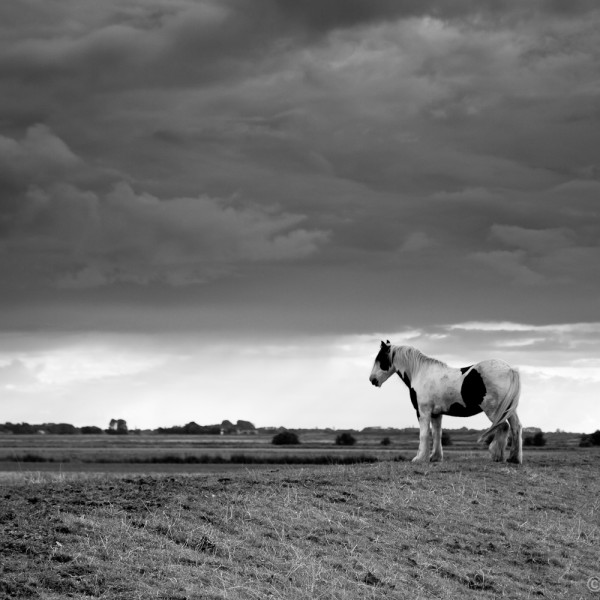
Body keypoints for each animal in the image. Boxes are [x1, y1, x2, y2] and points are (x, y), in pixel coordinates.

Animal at [368, 342, 524, 464]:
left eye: (380, 359)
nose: (372, 379)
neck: (421, 373)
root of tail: (510, 370)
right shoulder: (436, 414)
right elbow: (437, 433)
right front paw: (435, 457)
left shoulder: (423, 412)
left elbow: (424, 434)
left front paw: (419, 458)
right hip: (508, 410)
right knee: (516, 427)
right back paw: (513, 459)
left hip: (494, 410)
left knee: (503, 426)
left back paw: (496, 455)